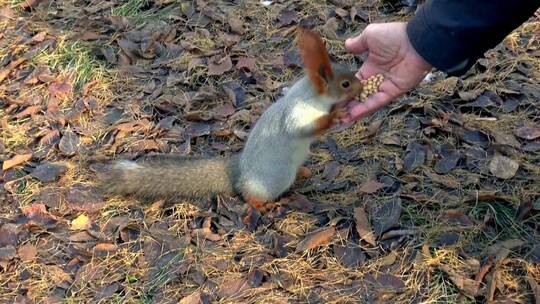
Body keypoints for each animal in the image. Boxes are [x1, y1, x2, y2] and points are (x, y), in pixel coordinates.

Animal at [99, 27, 364, 214]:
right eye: (345, 83)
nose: (361, 86)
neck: (310, 95)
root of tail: (238, 171)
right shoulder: (297, 114)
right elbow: (304, 129)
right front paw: (335, 115)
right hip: (271, 181)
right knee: (250, 195)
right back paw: (263, 205)